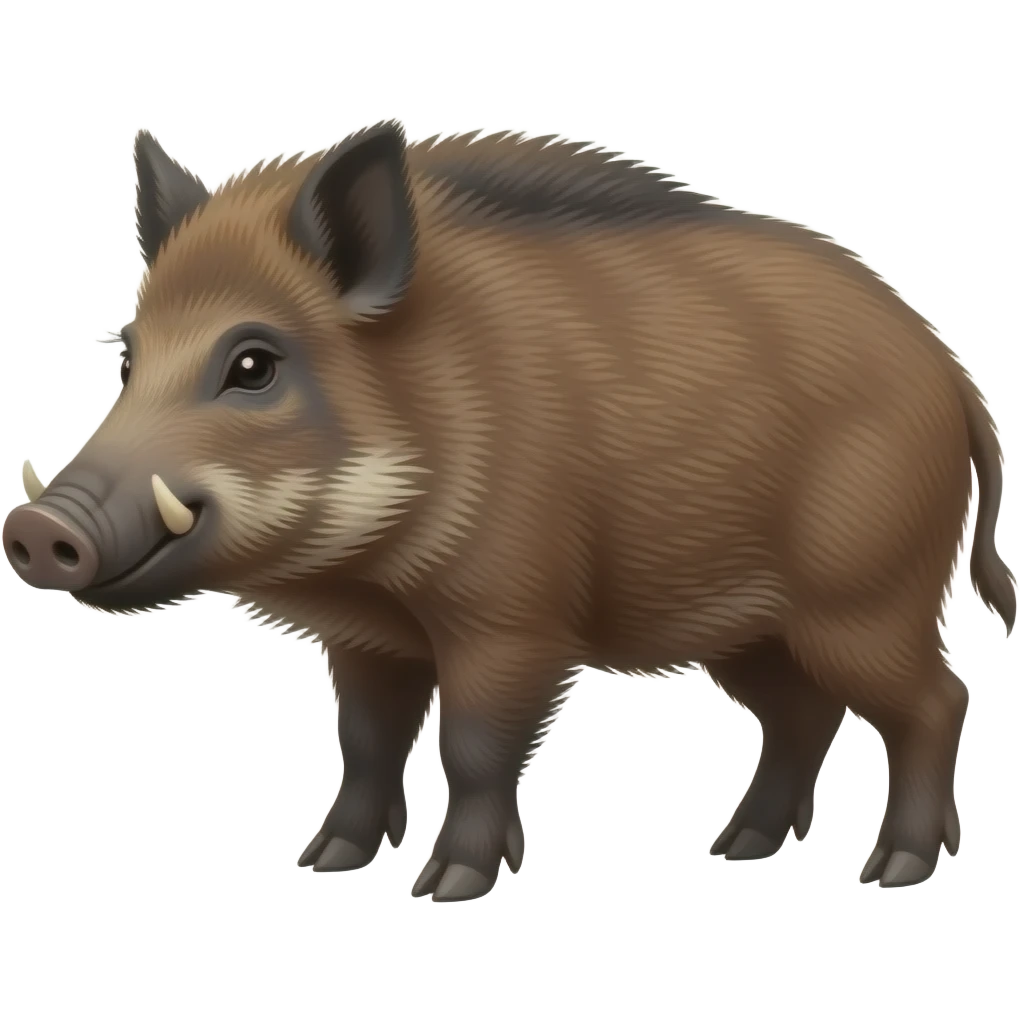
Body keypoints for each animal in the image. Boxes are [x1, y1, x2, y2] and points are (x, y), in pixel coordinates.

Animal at [2, 120, 1014, 901]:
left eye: (253, 363)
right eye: (129, 357)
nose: (39, 530)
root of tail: (954, 376)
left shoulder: (513, 619)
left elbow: (476, 747)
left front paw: (447, 887)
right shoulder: (369, 638)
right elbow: (366, 742)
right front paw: (324, 864)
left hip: (866, 597)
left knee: (937, 700)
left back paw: (893, 870)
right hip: (749, 628)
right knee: (803, 713)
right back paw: (736, 850)